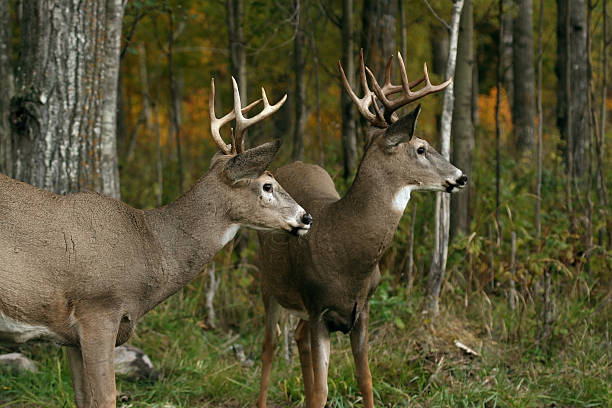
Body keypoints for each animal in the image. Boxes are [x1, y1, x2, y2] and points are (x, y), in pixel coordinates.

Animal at [0, 77, 310, 408]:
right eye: (267, 185)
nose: (306, 218)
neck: (149, 246)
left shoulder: (70, 338)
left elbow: (82, 397)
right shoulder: (98, 308)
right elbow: (106, 397)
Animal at [256, 51, 466, 408]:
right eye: (421, 148)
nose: (461, 176)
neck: (346, 249)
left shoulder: (362, 309)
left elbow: (365, 379)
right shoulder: (317, 307)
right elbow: (321, 392)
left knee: (296, 338)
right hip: (270, 286)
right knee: (270, 344)